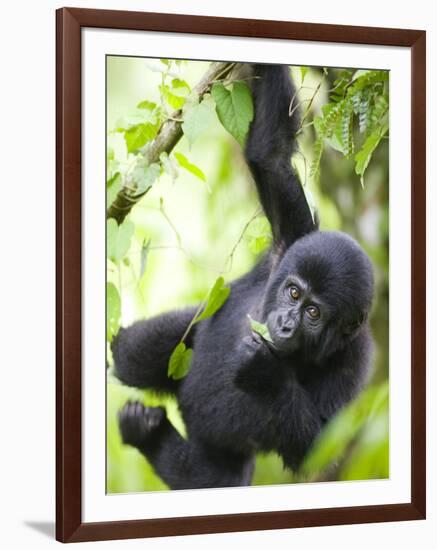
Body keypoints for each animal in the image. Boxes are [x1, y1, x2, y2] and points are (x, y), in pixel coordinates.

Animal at [112, 63, 372, 492]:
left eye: (314, 313)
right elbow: (271, 156)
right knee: (131, 355)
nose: (284, 324)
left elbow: (316, 448)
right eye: (294, 293)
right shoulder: (292, 238)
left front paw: (265, 371)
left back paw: (149, 434)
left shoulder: (354, 360)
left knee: (213, 477)